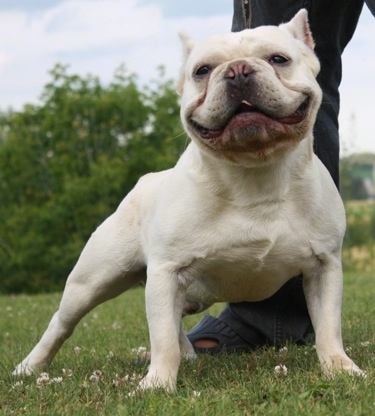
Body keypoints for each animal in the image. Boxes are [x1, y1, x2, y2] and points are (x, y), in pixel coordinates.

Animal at [13, 10, 364, 394]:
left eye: (278, 59)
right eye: (202, 70)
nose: (238, 70)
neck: (255, 173)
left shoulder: (323, 267)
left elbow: (328, 327)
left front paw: (340, 368)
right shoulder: (168, 271)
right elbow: (162, 338)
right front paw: (157, 385)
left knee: (174, 317)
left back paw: (189, 353)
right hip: (93, 281)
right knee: (62, 324)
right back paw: (30, 366)